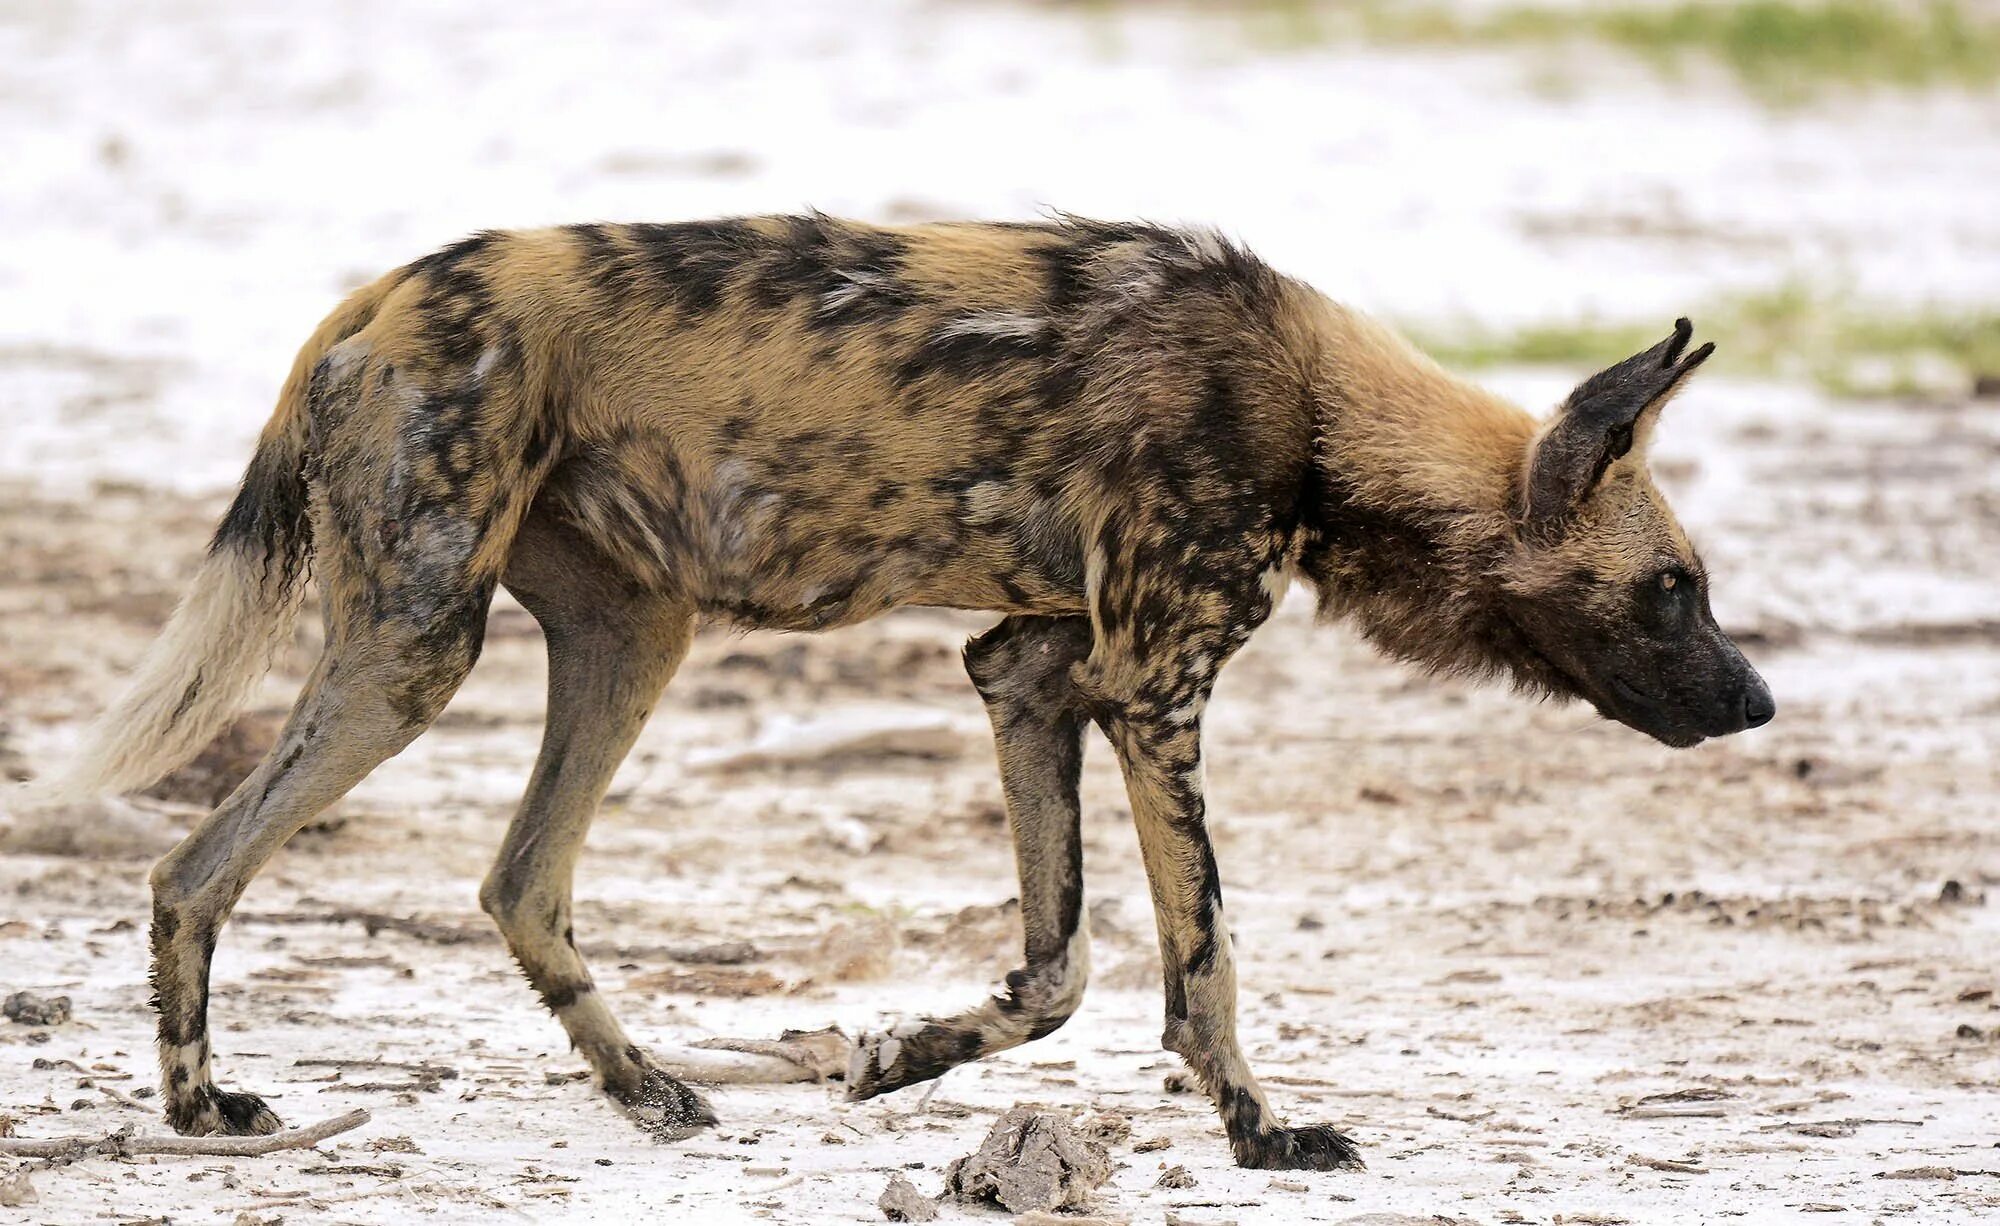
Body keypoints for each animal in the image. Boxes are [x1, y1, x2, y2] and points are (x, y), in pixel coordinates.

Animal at [43, 213, 1768, 1168]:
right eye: (1673, 590)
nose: (1757, 704)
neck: (1318, 416)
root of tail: (372, 298)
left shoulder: (1032, 674)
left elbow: (1058, 968)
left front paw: (897, 1059)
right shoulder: (1154, 691)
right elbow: (1201, 957)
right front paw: (1261, 1130)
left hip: (631, 634)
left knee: (516, 879)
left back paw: (647, 1088)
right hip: (415, 649)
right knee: (194, 865)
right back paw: (201, 1107)